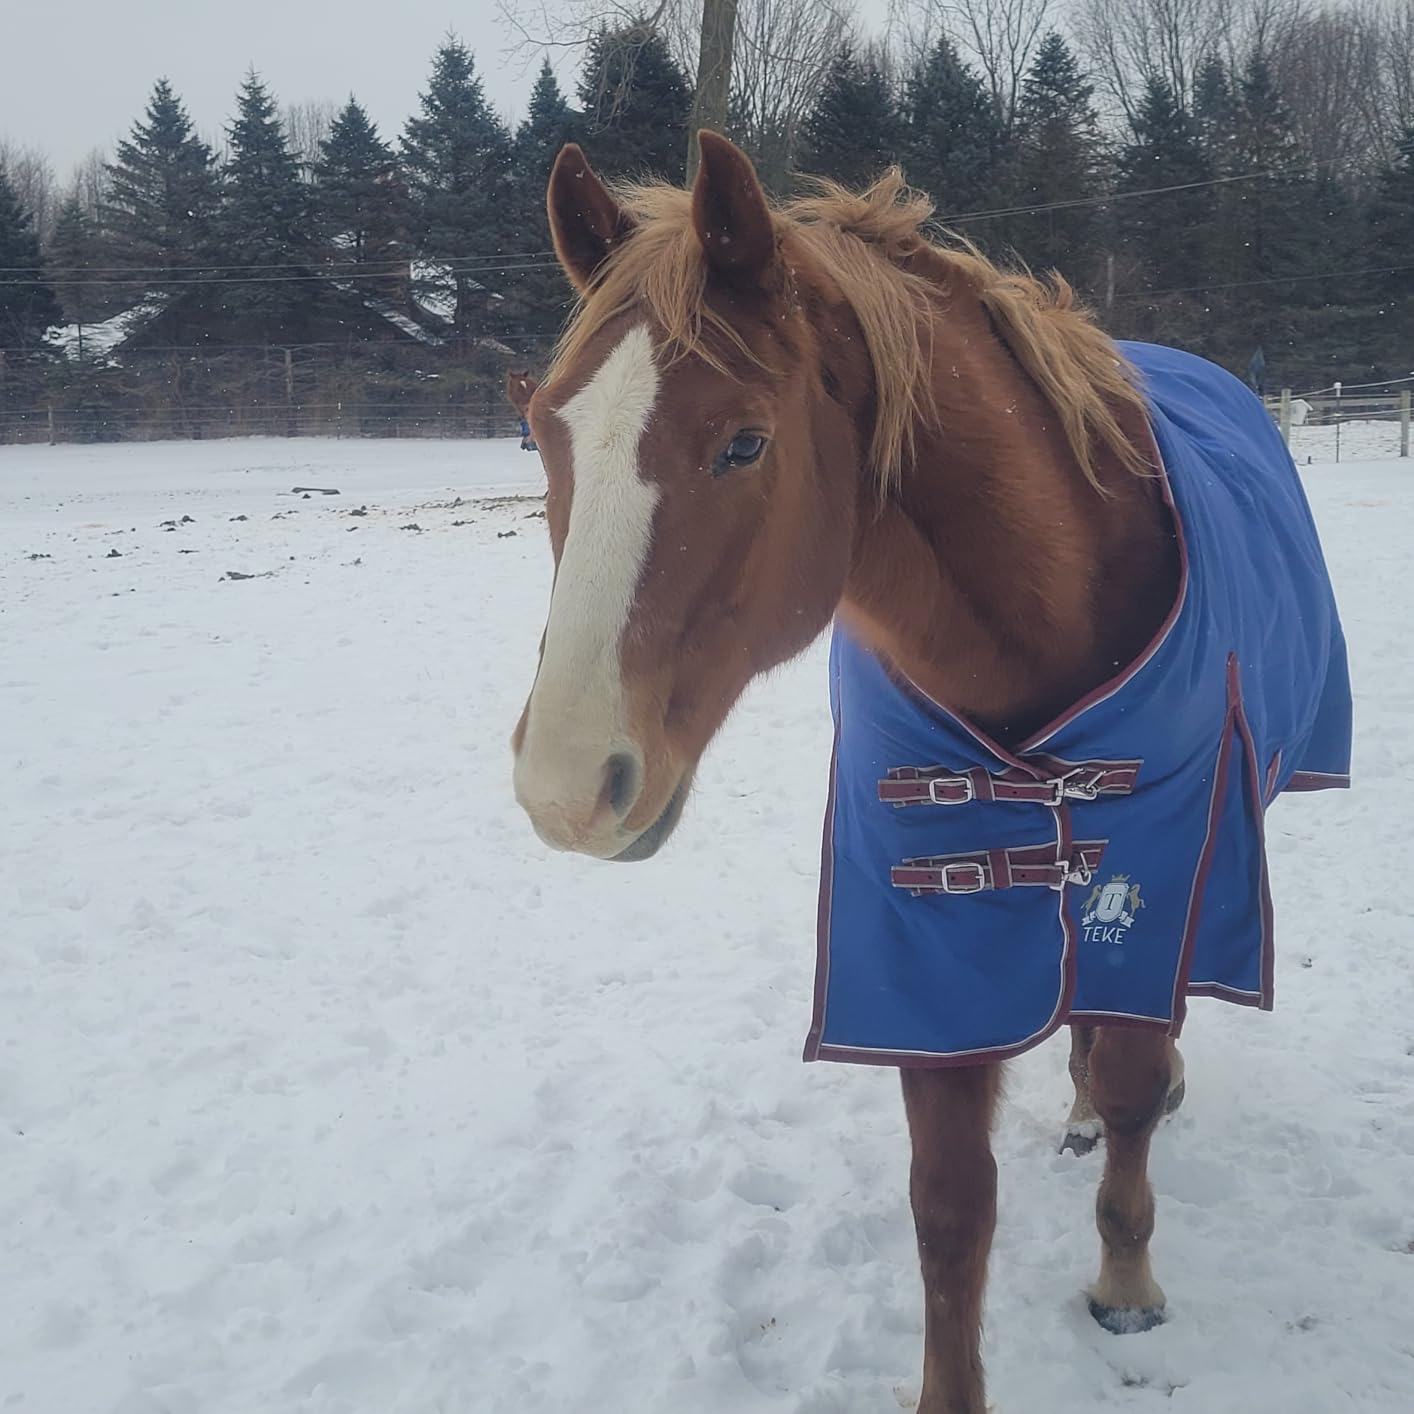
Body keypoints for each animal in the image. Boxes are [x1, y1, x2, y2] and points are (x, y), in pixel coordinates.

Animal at [506, 131, 1351, 1412]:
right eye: (547, 428)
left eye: (742, 442)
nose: (562, 784)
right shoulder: (927, 937)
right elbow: (951, 1207)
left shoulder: (1164, 868)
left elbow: (1135, 1075)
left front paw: (1125, 1277)